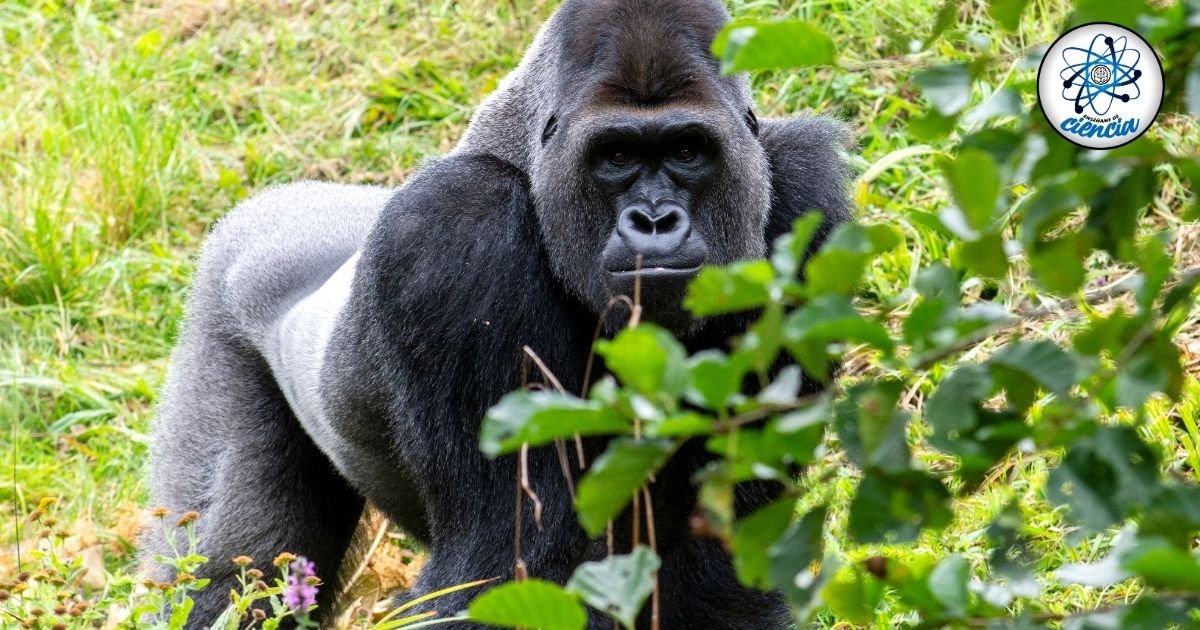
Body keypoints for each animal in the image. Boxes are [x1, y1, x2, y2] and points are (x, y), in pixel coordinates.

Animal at [142, 1, 854, 628]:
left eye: (686, 151)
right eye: (617, 157)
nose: (654, 221)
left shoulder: (805, 200)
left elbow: (724, 550)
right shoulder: (455, 230)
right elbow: (505, 567)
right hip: (220, 306)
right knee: (228, 576)